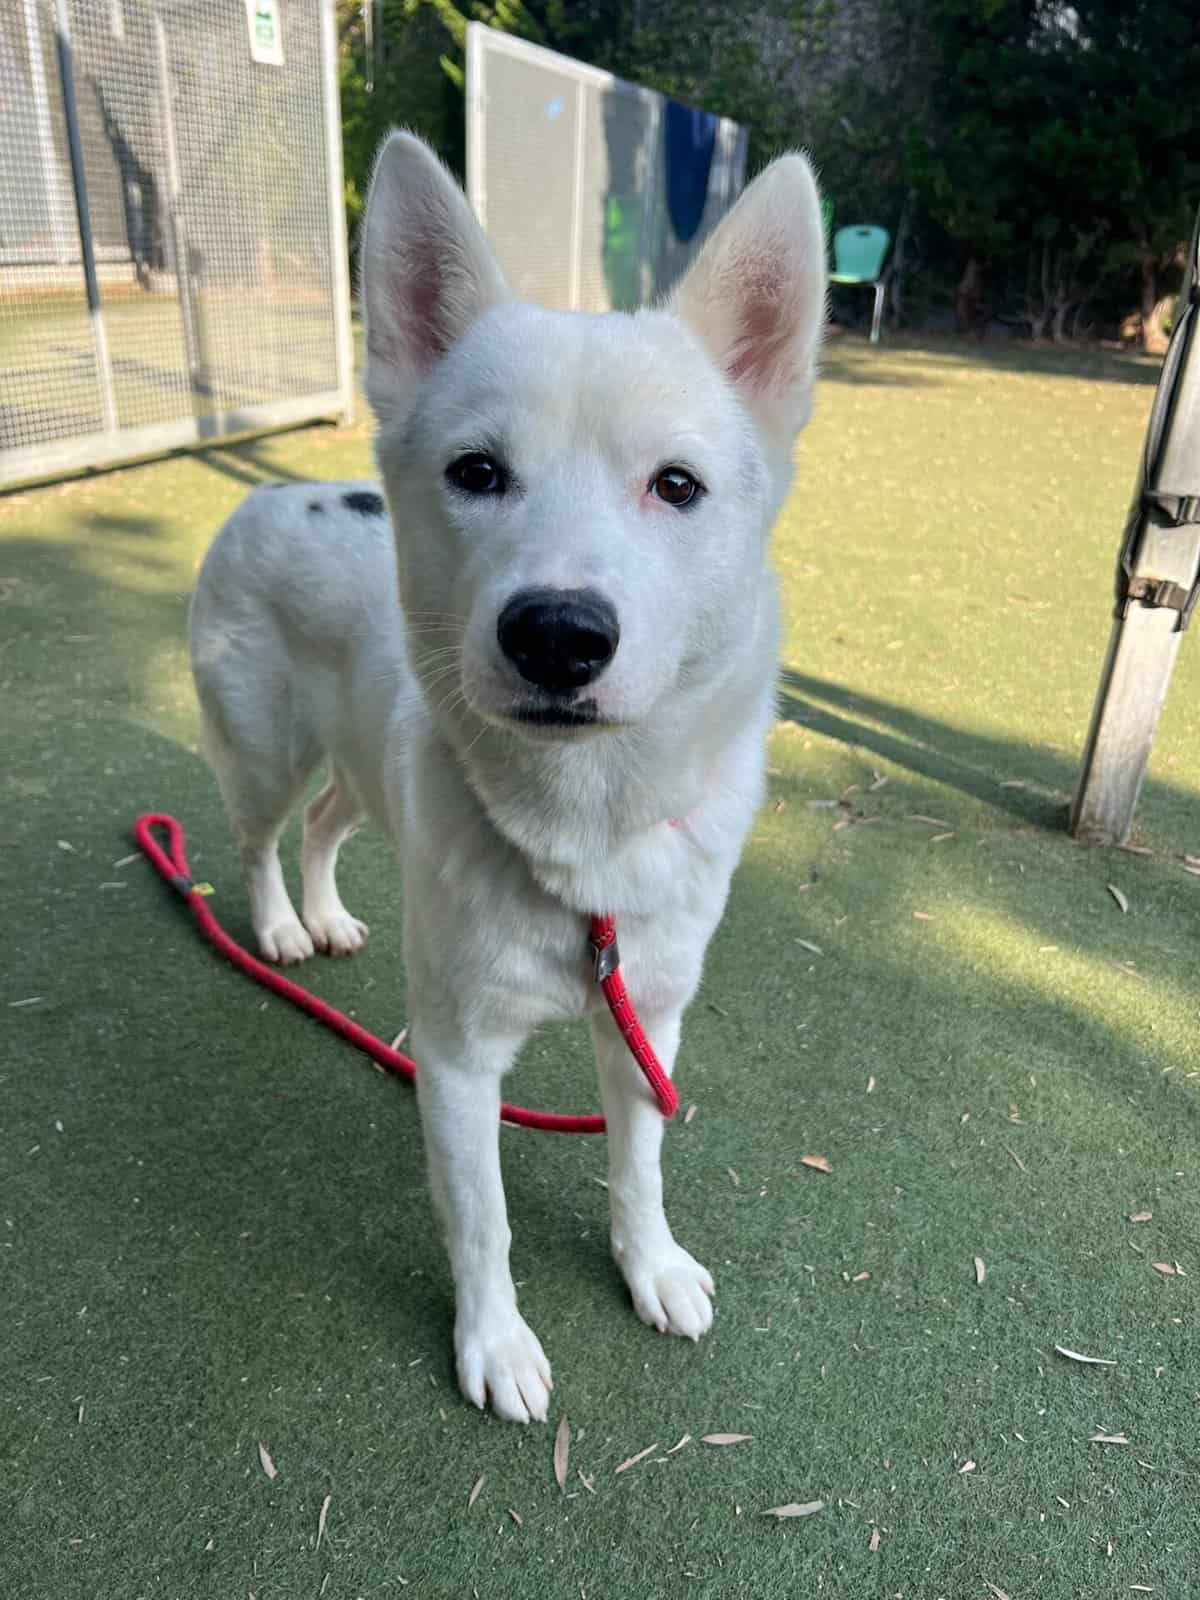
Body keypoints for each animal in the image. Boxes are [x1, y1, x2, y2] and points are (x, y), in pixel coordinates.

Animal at [192, 131, 825, 1420]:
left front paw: (651, 1267)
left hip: (362, 768)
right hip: (267, 751)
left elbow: (639, 1168)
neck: (586, 840)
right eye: (477, 472)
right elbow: (481, 1223)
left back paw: (328, 916)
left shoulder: (647, 1028)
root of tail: (265, 489)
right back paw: (280, 927)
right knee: (260, 837)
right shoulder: (454, 1059)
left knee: (328, 825)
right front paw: (493, 1344)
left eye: (676, 485)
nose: (558, 634)